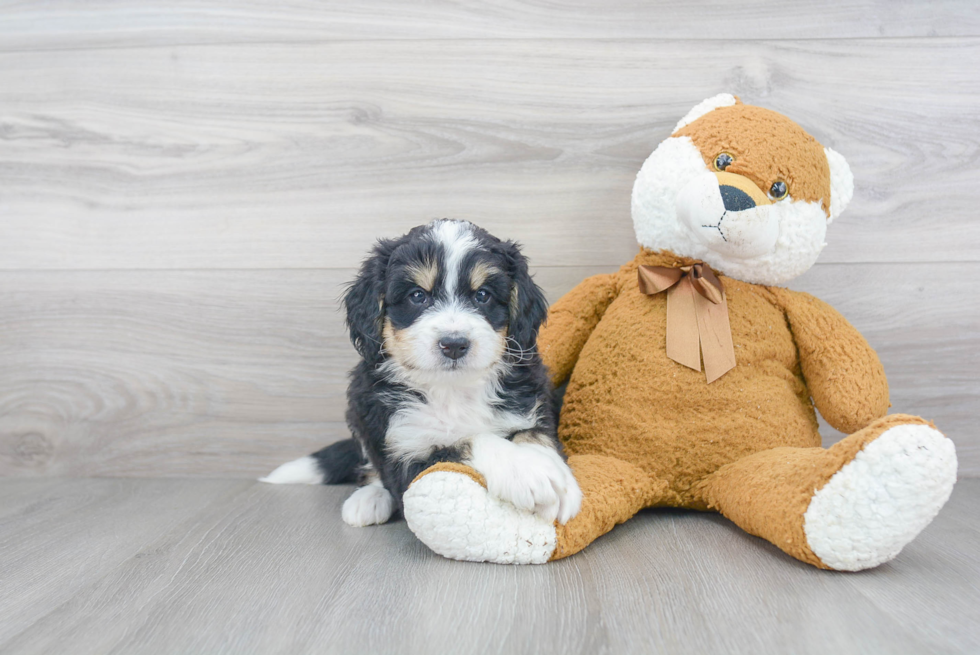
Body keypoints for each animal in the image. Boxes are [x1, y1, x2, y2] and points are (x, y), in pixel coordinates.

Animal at [260, 219, 580, 528]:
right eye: (417, 296)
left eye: (483, 295)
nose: (454, 344)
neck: (452, 390)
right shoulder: (404, 451)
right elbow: (463, 441)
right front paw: (527, 471)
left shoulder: (530, 404)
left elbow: (534, 434)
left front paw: (559, 479)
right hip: (360, 412)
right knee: (370, 465)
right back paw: (369, 498)